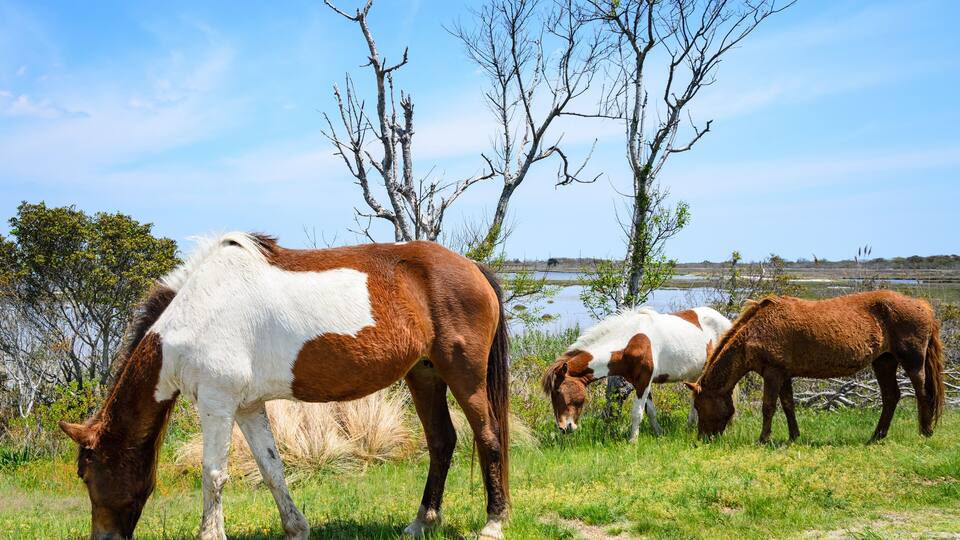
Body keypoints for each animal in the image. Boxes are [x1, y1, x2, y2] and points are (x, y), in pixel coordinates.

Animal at [58, 233, 510, 540]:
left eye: (86, 473)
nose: (104, 539)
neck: (192, 316)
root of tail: (474, 268)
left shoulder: (217, 403)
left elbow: (214, 473)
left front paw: (212, 534)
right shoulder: (247, 407)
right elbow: (271, 469)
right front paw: (296, 528)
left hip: (464, 375)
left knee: (488, 437)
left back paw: (493, 523)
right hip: (424, 375)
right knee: (441, 442)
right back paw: (422, 522)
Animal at [542, 306, 732, 440]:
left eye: (558, 391)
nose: (564, 427)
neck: (631, 341)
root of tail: (725, 320)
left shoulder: (644, 381)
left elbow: (637, 413)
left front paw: (633, 441)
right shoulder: (640, 382)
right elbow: (651, 411)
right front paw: (659, 433)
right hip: (695, 374)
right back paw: (691, 426)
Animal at [686, 291, 945, 444]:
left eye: (699, 406)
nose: (703, 439)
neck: (757, 329)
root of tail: (923, 305)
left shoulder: (773, 373)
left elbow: (768, 407)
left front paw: (763, 439)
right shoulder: (783, 374)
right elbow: (788, 405)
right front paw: (794, 437)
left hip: (912, 361)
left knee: (922, 392)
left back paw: (925, 432)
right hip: (884, 362)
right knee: (891, 397)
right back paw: (876, 436)